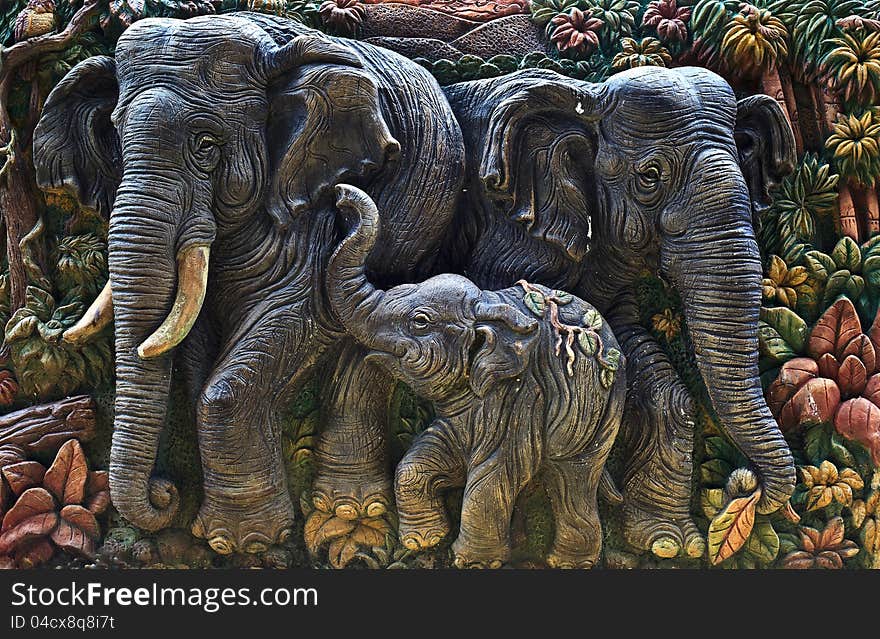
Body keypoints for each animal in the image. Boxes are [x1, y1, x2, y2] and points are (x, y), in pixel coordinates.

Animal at [32, 13, 468, 556]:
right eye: (116, 138)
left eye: (206, 144)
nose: (165, 492)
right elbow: (197, 340)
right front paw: (231, 536)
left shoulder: (307, 209)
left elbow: (302, 314)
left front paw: (243, 543)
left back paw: (350, 511)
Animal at [328, 185, 624, 568]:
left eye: (419, 321)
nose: (340, 195)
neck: (487, 301)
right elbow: (427, 455)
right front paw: (425, 541)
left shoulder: (522, 394)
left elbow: (496, 469)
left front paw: (473, 562)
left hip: (598, 414)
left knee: (573, 477)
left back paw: (567, 563)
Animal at [440, 67, 796, 560]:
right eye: (650, 176)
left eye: (745, 172)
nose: (744, 486)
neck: (588, 96)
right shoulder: (510, 225)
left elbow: (619, 335)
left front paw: (666, 542)